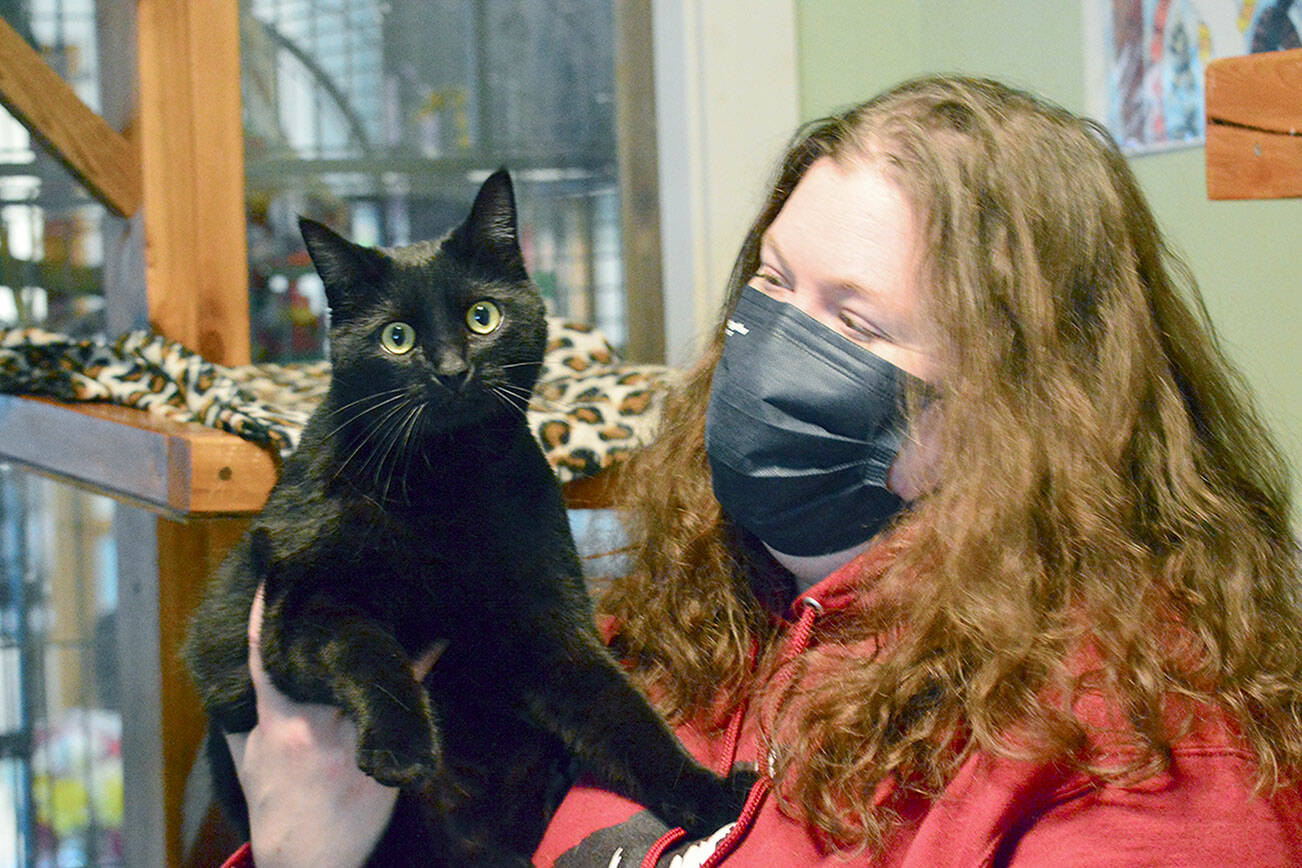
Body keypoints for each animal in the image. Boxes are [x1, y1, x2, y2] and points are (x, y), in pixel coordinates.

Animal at [188, 171, 749, 868]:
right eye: (396, 337)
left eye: (483, 317)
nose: (453, 369)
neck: (447, 483)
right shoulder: (301, 610)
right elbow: (370, 650)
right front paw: (401, 744)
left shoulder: (549, 622)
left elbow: (623, 713)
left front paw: (712, 797)